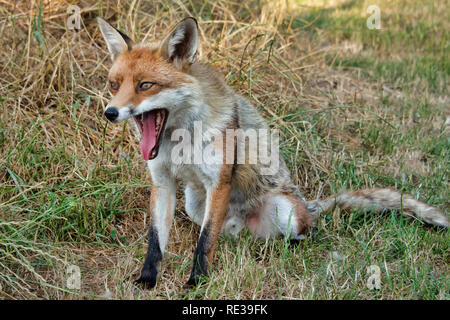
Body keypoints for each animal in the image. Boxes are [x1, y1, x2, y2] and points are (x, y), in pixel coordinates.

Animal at [96, 16, 448, 288]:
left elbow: (204, 242)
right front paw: (147, 280)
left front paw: (197, 281)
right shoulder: (163, 182)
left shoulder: (219, 182)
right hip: (196, 204)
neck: (179, 142)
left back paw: (291, 245)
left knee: (304, 229)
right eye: (114, 84)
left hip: (285, 210)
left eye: (145, 86)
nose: (110, 113)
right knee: (229, 234)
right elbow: (156, 241)